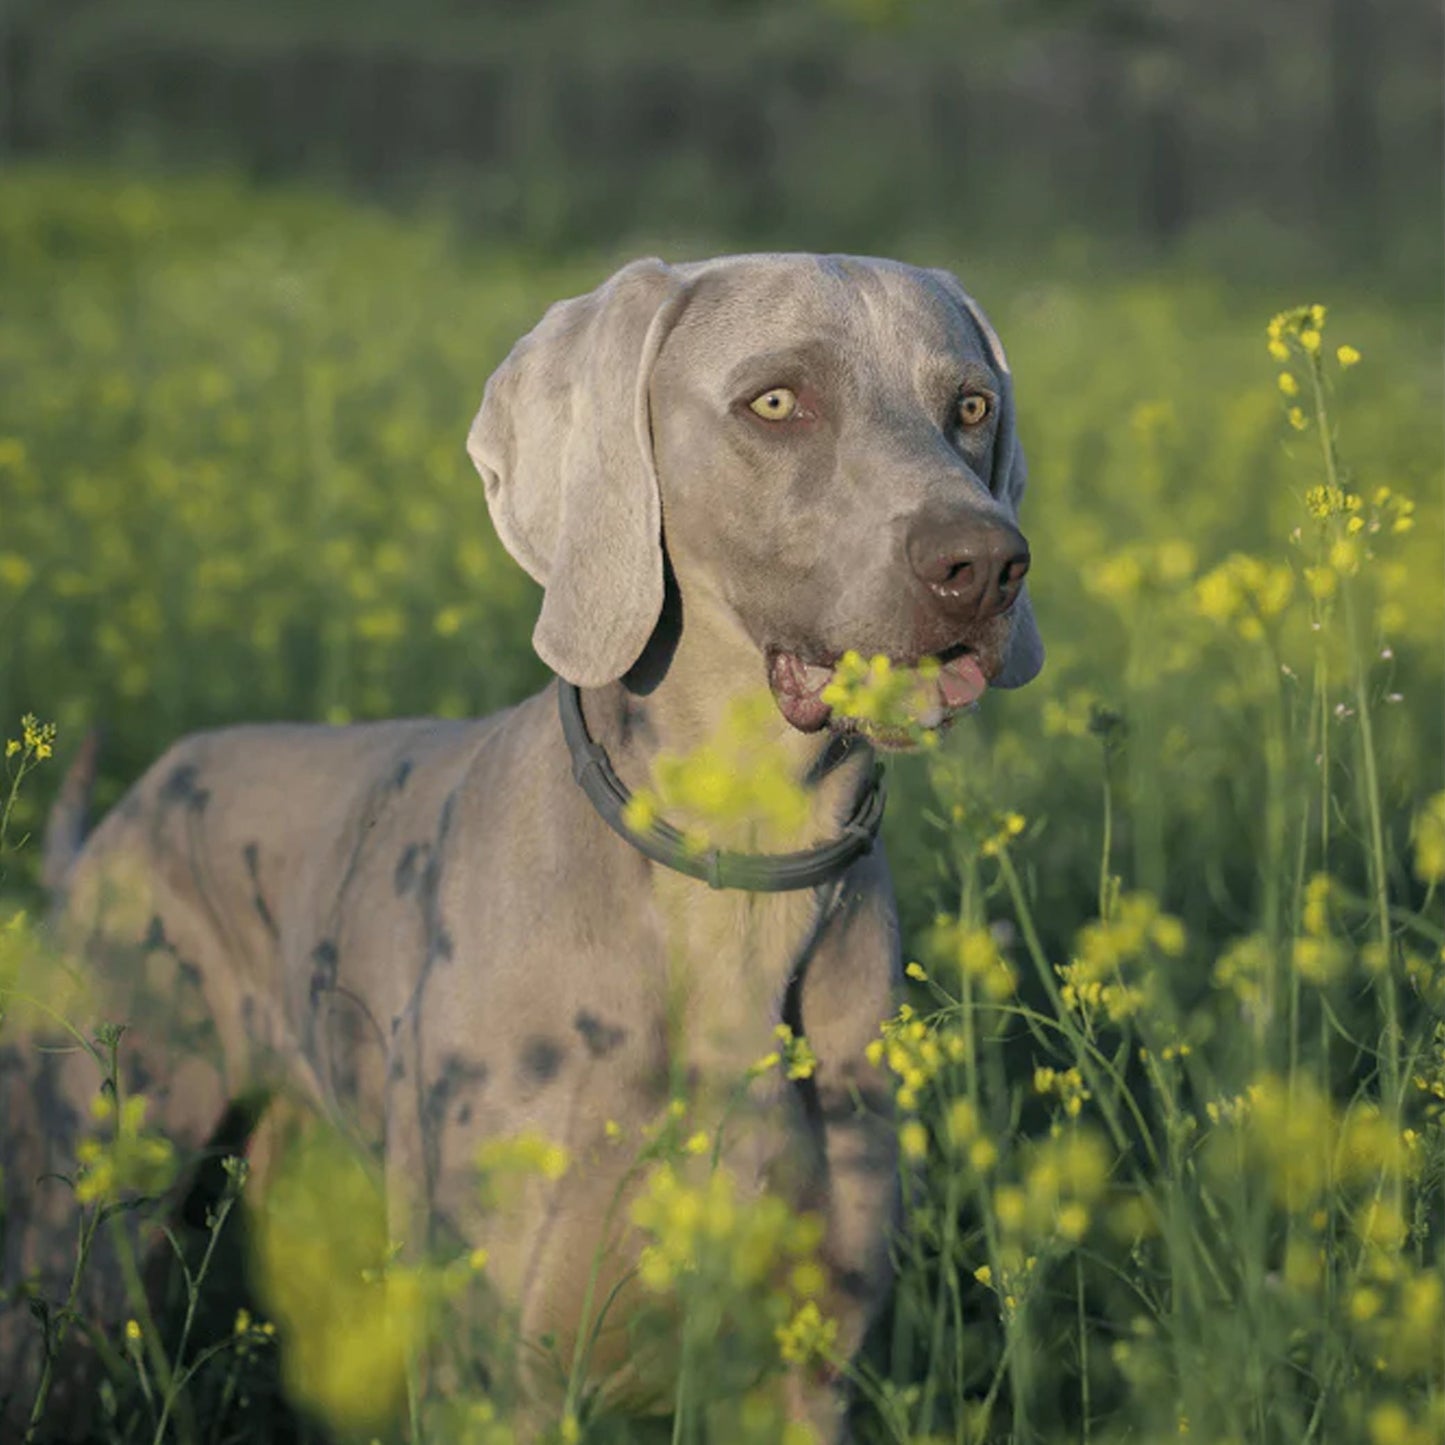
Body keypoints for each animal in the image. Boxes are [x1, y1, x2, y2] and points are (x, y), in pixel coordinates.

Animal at [0, 254, 1040, 1439]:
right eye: (776, 402)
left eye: (971, 407)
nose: (983, 563)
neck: (734, 871)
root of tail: (123, 815)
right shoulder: (501, 1369)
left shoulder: (805, 1371)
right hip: (85, 1208)